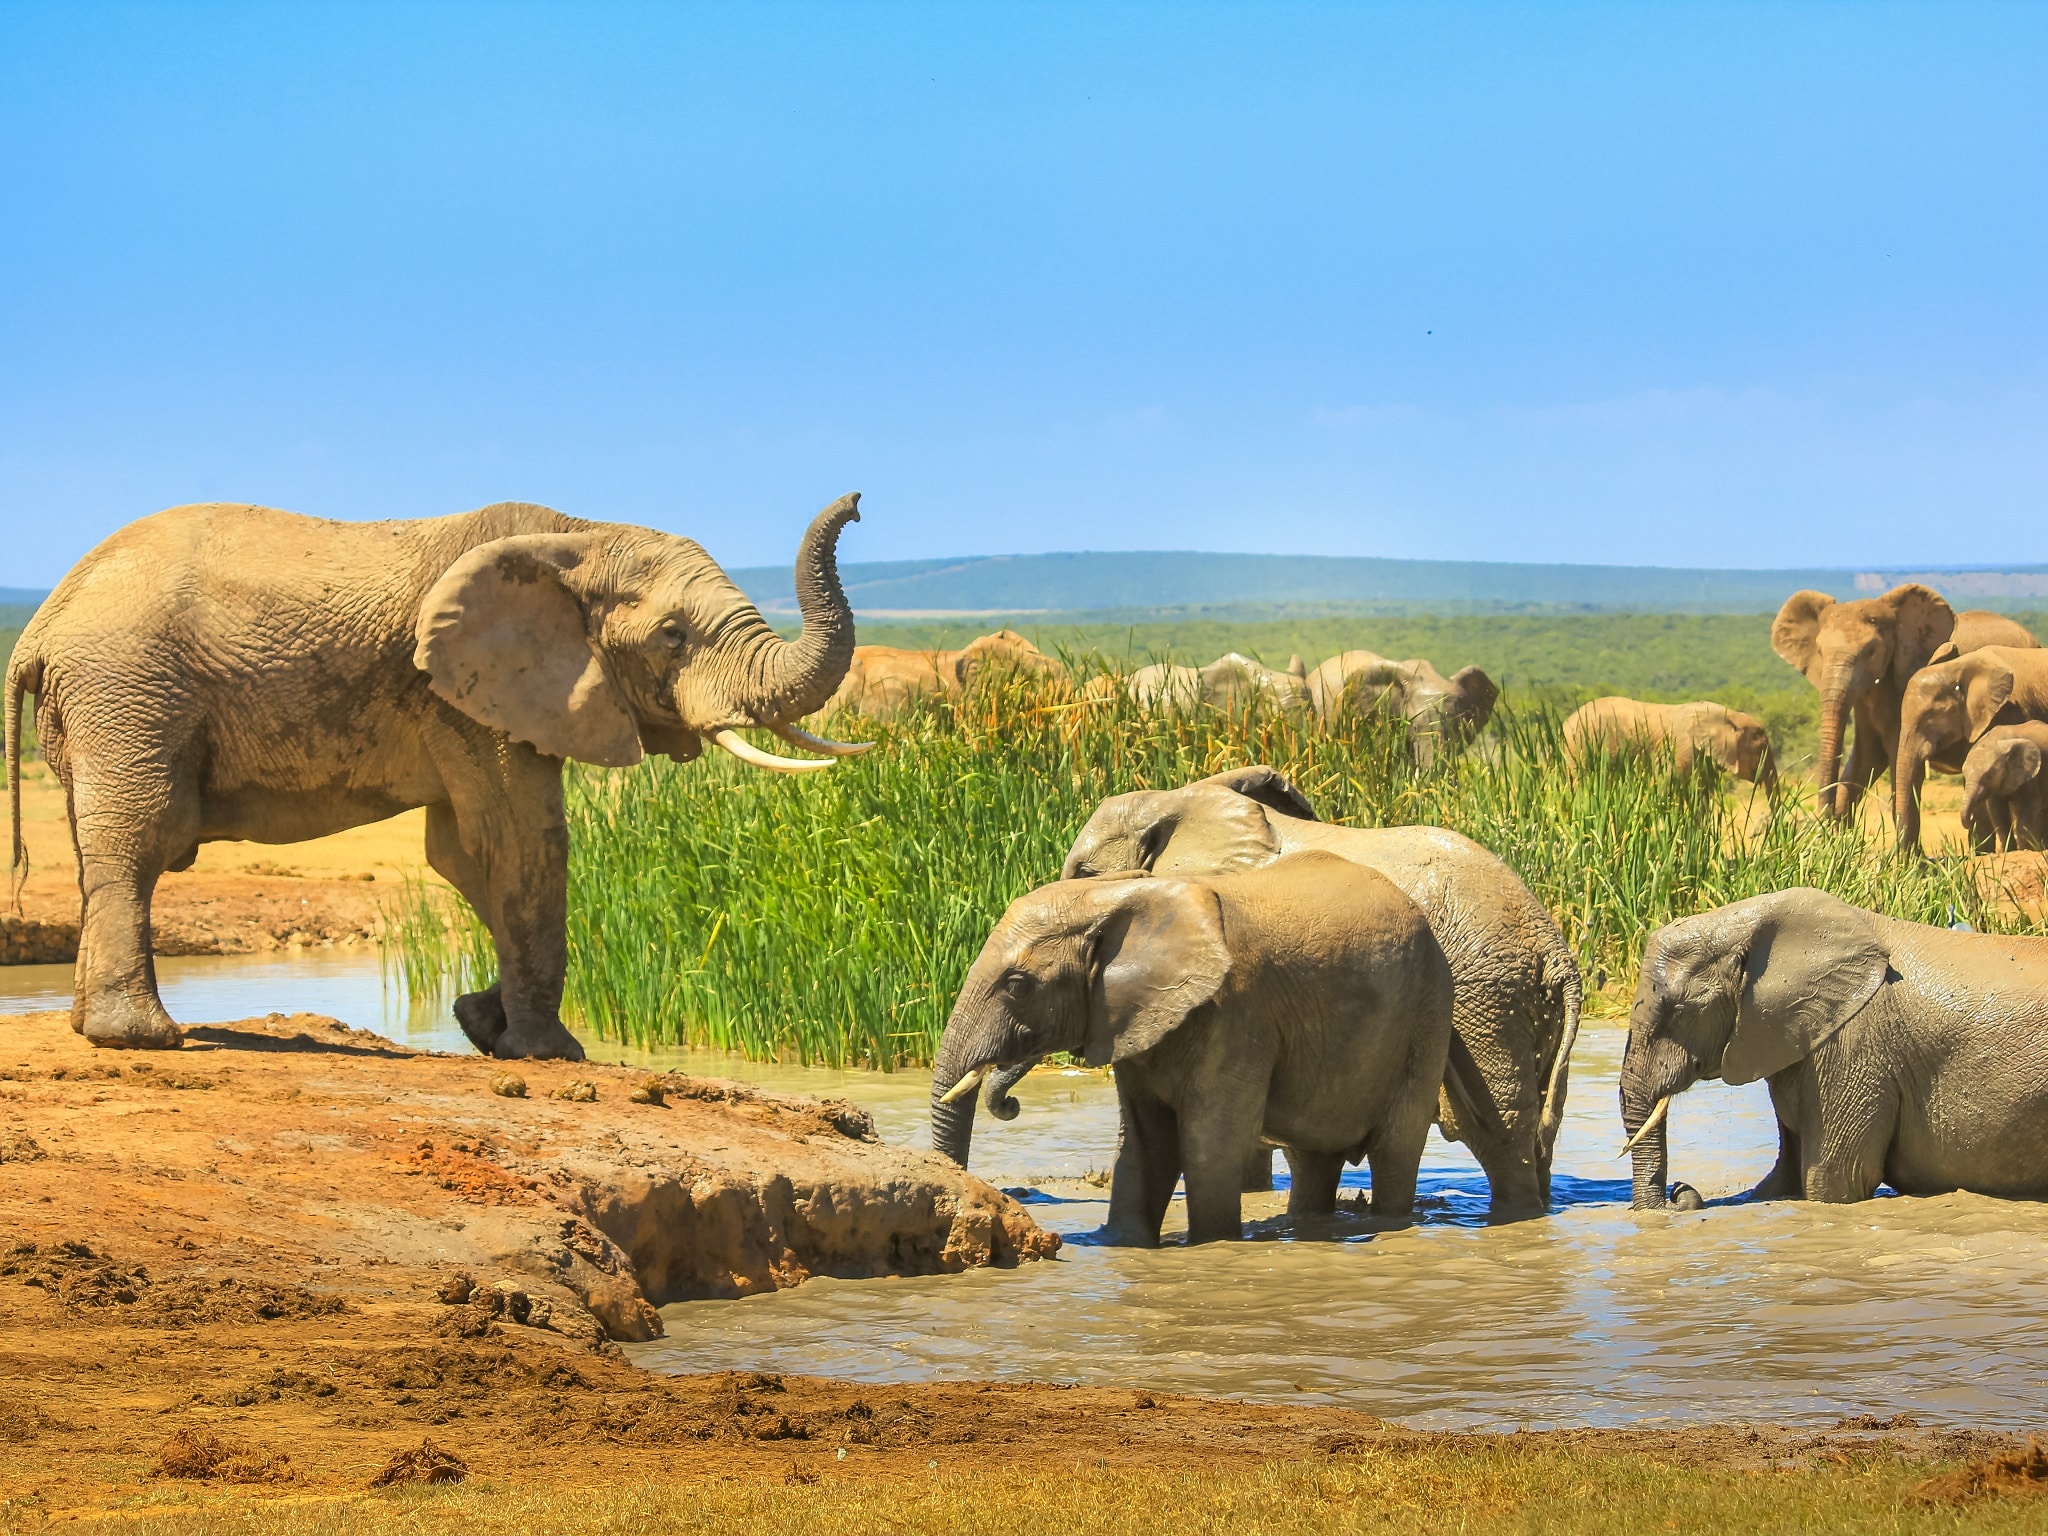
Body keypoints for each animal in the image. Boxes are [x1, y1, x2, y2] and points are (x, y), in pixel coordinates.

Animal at [4, 495, 868, 1056]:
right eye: (673, 636)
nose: (857, 504)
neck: (578, 536)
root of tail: (42, 625)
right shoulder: (465, 694)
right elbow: (519, 843)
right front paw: (550, 1053)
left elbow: (465, 854)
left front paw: (482, 1022)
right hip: (128, 690)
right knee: (140, 842)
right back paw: (142, 1039)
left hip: (99, 707)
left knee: (96, 852)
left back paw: (90, 1027)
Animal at [930, 854, 1454, 1245]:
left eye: (1017, 985)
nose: (1011, 1103)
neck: (1122, 898)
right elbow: (1146, 1147)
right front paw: (1122, 1244)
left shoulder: (1237, 1011)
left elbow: (1208, 1145)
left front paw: (1210, 1244)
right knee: (1312, 1159)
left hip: (1426, 1017)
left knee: (1395, 1149)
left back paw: (1385, 1224)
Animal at [1040, 765, 1579, 1216]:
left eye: (1086, 873)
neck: (1180, 800)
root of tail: (1554, 949)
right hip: (1523, 1005)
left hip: (1483, 996)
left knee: (1495, 1124)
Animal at [1960, 723, 2048, 853]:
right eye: (1964, 776)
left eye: (1990, 776)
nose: (1971, 819)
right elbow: (1997, 813)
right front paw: (2008, 851)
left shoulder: (2032, 774)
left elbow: (2030, 806)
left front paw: (2027, 849)